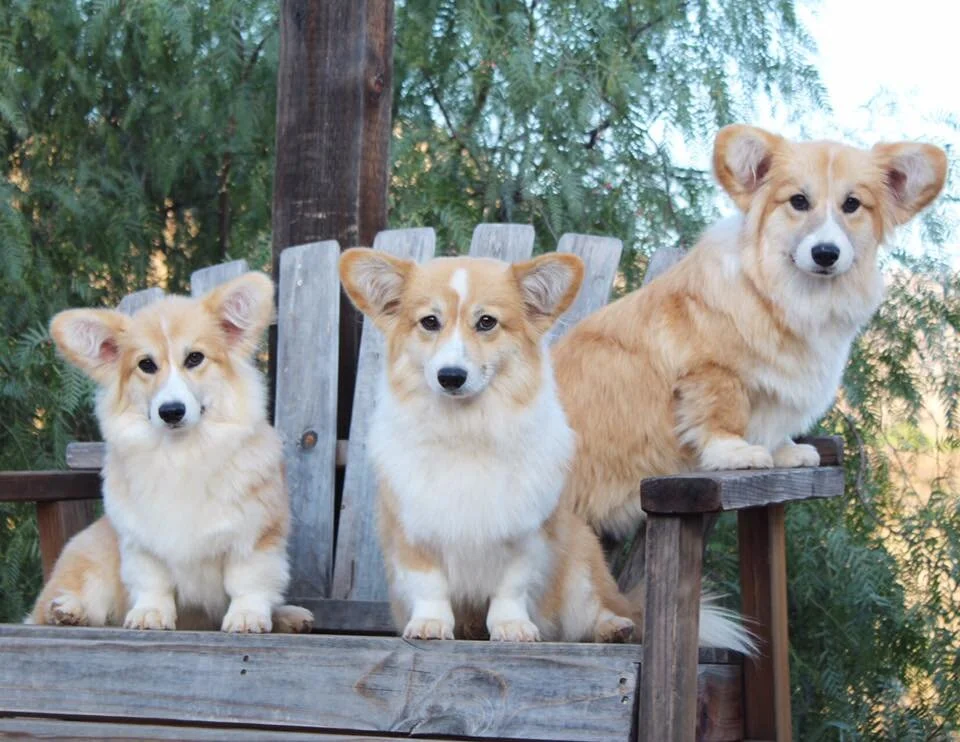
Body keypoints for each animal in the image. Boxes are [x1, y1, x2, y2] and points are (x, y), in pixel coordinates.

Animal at [28, 276, 314, 636]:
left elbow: (248, 582)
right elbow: (154, 581)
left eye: (195, 358)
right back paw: (67, 610)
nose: (171, 411)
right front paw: (150, 613)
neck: (182, 453)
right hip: (92, 562)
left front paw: (247, 616)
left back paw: (288, 617)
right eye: (146, 365)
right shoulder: (142, 541)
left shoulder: (254, 535)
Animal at [338, 248, 752, 652]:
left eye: (486, 322)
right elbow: (429, 584)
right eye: (429, 322)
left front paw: (512, 627)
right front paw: (430, 624)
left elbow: (510, 585)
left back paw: (615, 628)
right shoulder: (412, 531)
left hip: (580, 565)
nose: (450, 377)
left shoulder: (525, 533)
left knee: (593, 612)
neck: (467, 428)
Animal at [552, 125, 948, 536]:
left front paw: (786, 451)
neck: (795, 295)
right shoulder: (711, 371)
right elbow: (722, 412)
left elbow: (773, 423)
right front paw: (736, 453)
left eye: (852, 204)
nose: (825, 253)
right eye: (799, 201)